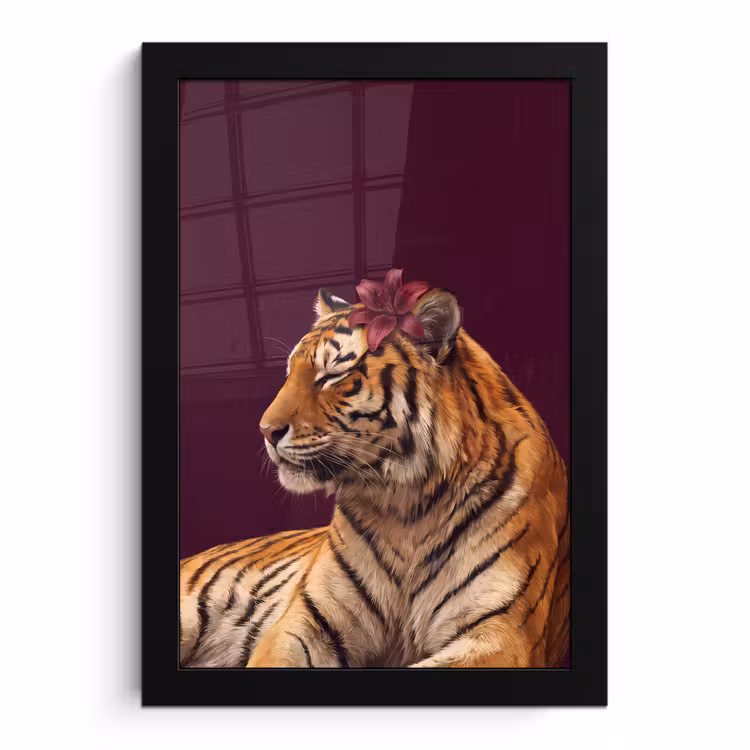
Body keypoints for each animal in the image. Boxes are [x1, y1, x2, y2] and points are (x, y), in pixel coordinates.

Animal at [179, 285, 569, 668]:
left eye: (332, 375)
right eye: (289, 373)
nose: (265, 430)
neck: (407, 506)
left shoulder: (501, 634)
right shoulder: (308, 620)